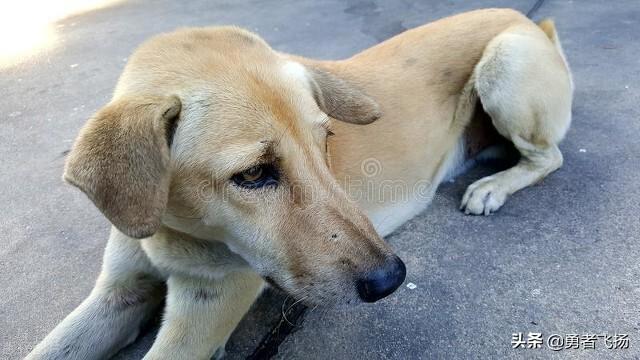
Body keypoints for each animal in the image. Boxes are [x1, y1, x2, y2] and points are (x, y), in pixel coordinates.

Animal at [27, 8, 572, 360]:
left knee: (550, 156)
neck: (173, 231)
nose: (390, 279)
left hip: (506, 65)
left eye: (325, 139)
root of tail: (529, 21)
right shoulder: (116, 293)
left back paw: (492, 186)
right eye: (252, 174)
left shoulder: (206, 307)